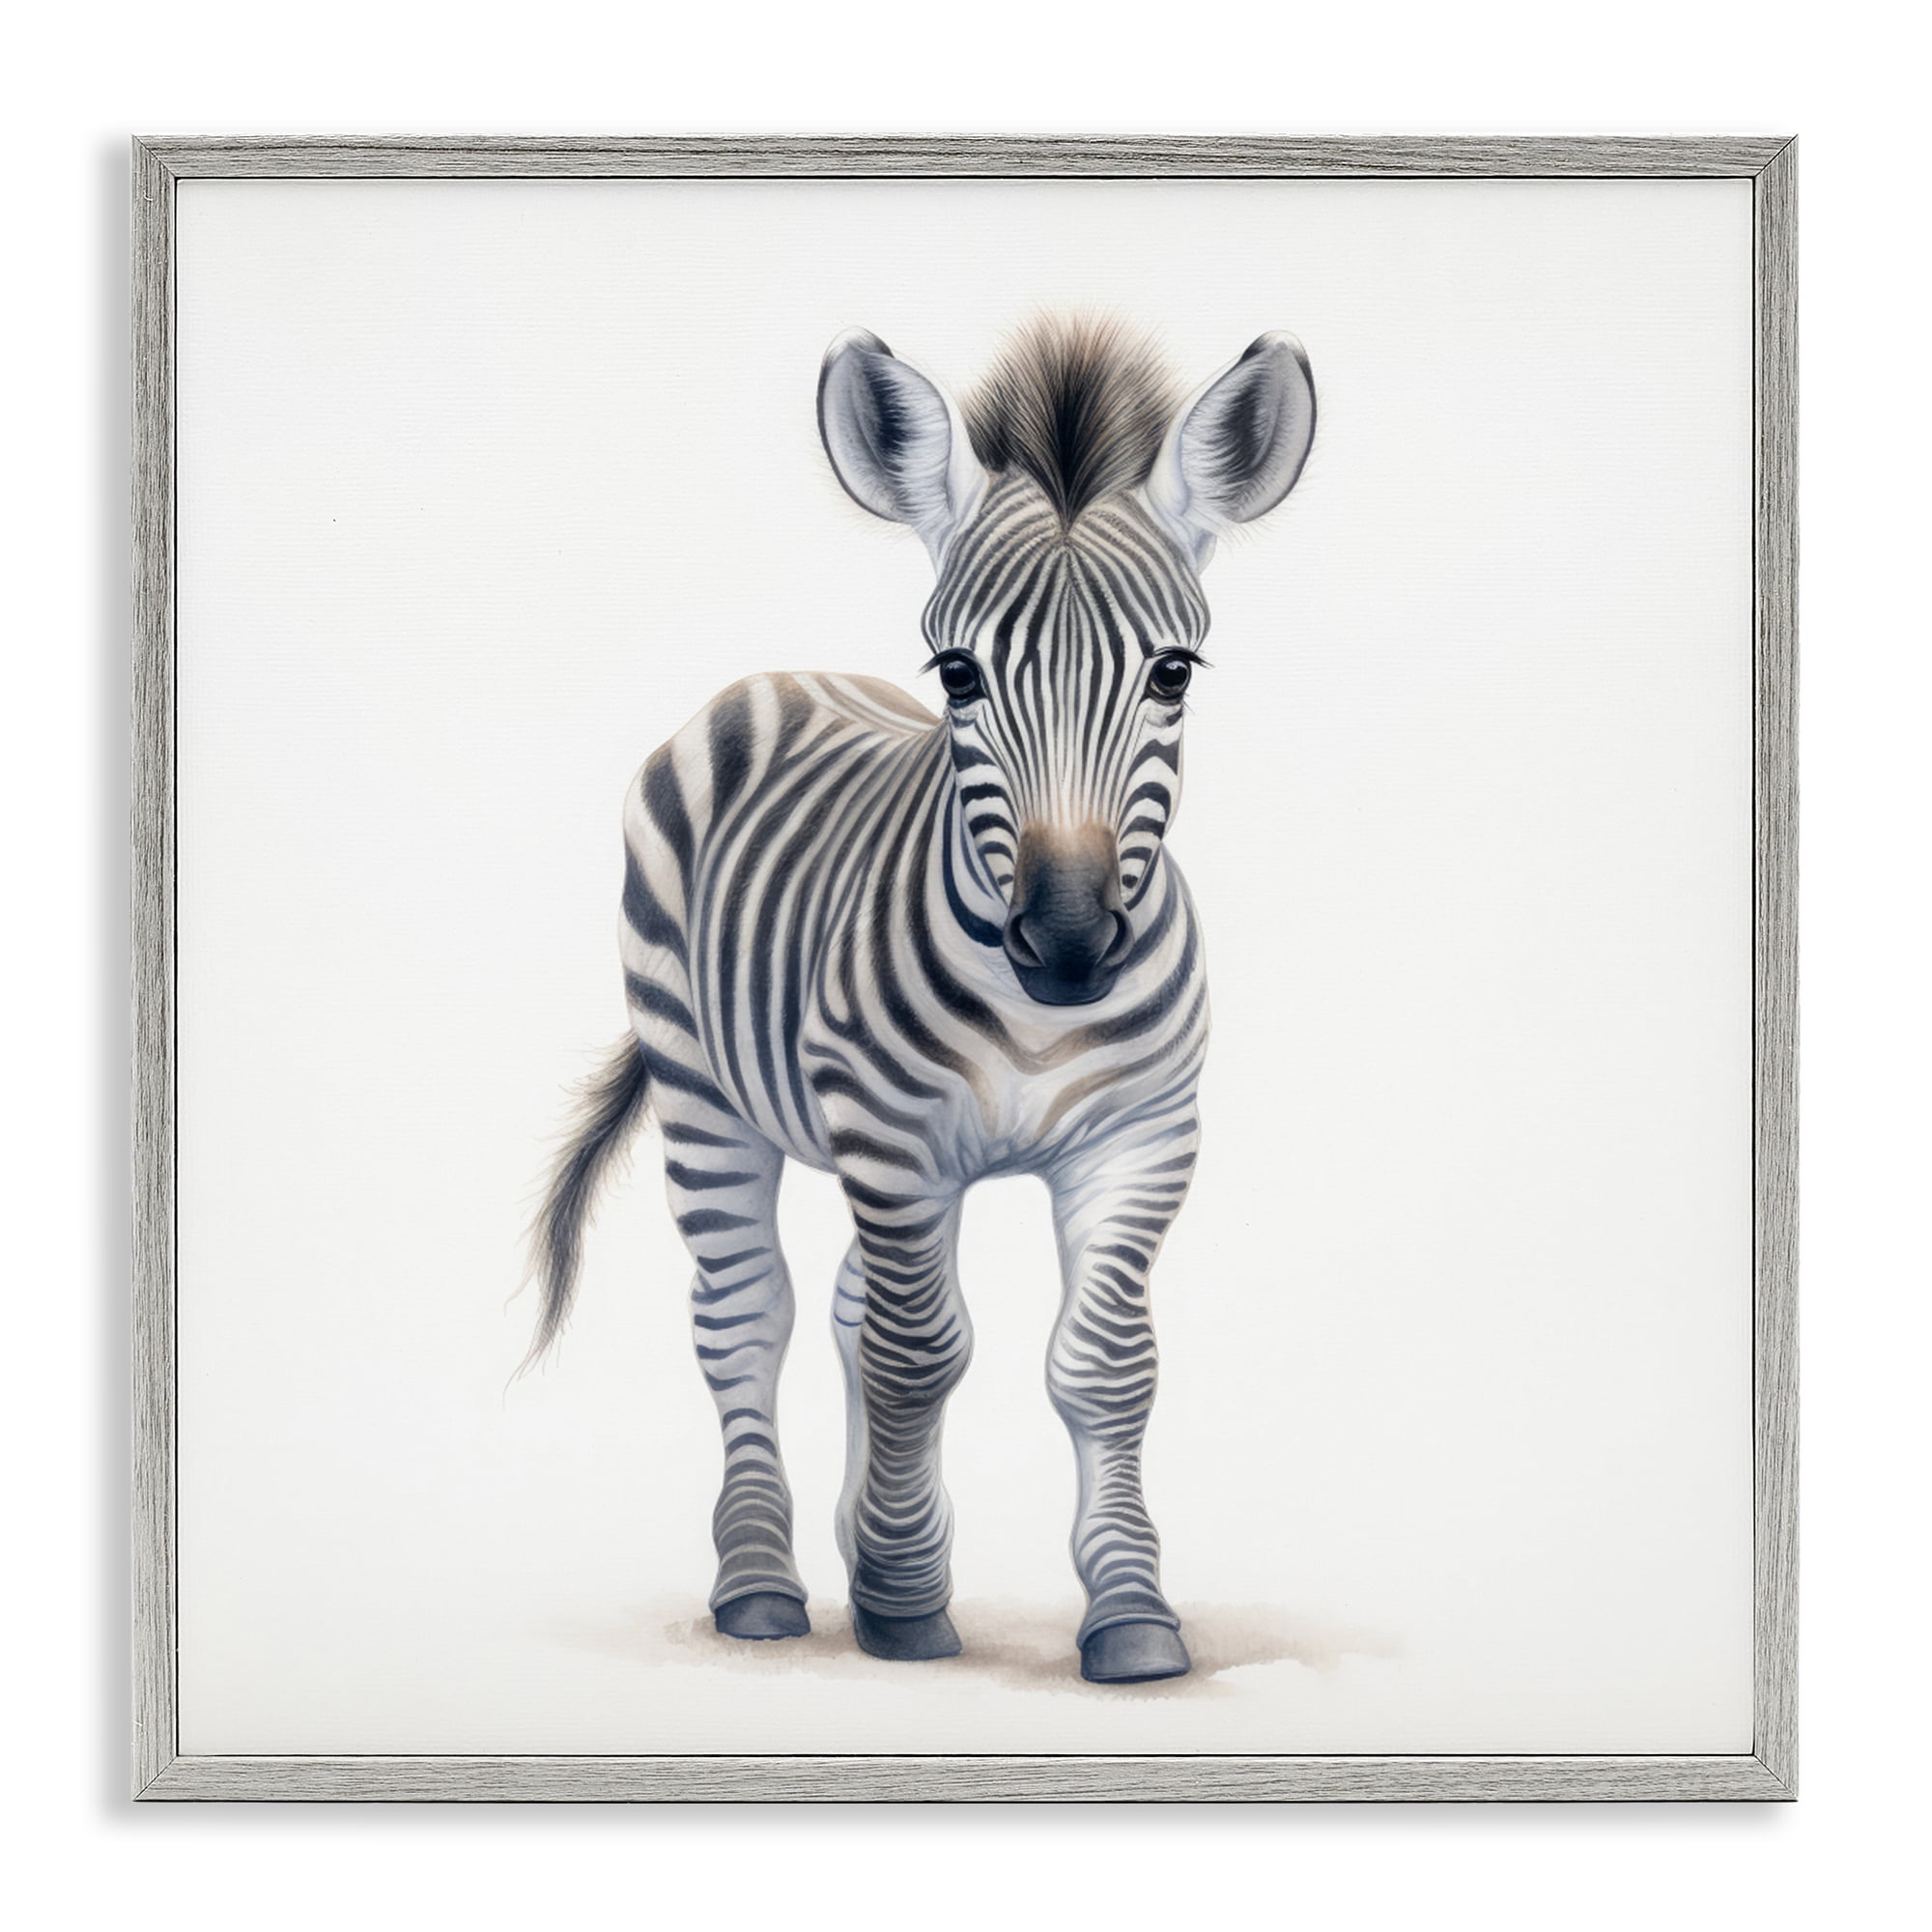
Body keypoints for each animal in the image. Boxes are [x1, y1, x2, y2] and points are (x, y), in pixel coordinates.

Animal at [528, 317, 1315, 1683]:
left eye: (1172, 672)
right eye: (956, 672)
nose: (1065, 945)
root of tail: (778, 676)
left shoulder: (1143, 1137)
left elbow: (1102, 1365)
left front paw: (1128, 1614)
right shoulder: (893, 1133)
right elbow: (919, 1352)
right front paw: (903, 1606)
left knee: (849, 1305)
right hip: (701, 1089)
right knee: (747, 1315)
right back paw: (761, 1582)